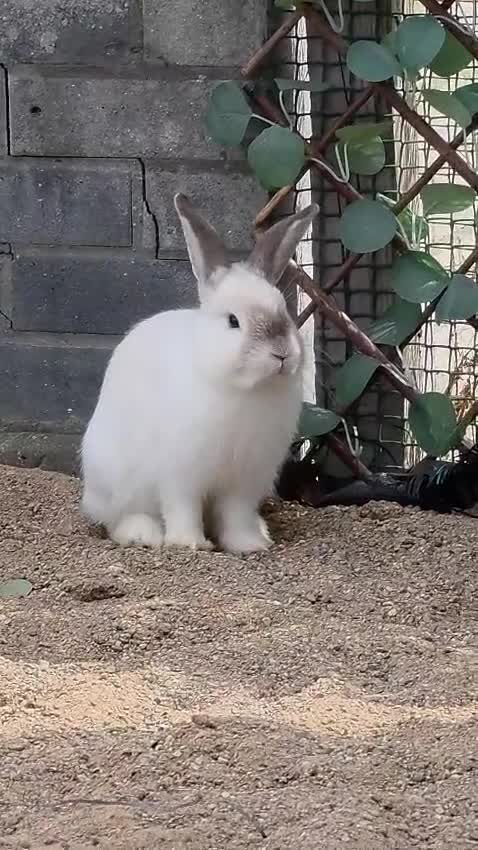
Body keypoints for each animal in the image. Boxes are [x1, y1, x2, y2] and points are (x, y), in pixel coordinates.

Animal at [81, 194, 319, 553]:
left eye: (285, 313)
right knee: (119, 516)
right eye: (233, 321)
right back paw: (142, 534)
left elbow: (235, 515)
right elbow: (183, 508)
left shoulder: (243, 482)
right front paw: (189, 543)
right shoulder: (181, 474)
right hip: (115, 476)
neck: (244, 389)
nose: (281, 353)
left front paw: (249, 545)